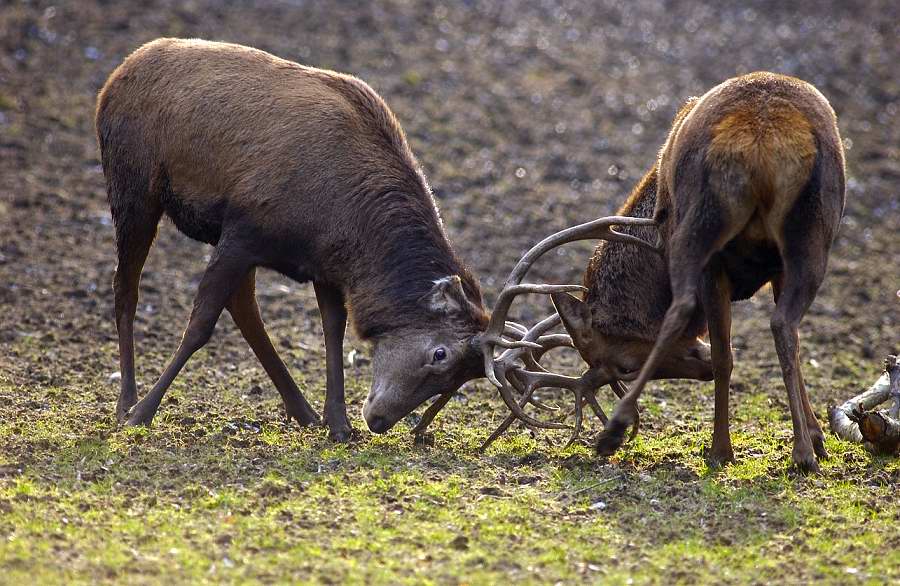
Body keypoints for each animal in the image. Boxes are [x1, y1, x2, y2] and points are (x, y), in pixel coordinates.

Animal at [96, 37, 652, 438]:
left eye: (459, 379)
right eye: (440, 355)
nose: (380, 421)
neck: (345, 221)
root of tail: (117, 74)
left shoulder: (321, 263)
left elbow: (333, 329)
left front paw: (338, 424)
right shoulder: (245, 229)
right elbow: (200, 324)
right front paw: (144, 413)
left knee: (244, 304)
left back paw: (301, 410)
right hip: (133, 188)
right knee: (126, 287)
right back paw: (126, 401)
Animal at [548, 72, 844, 470]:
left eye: (623, 366)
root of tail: (762, 143)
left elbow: (722, 356)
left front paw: (721, 450)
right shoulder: (778, 270)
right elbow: (792, 351)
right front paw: (816, 436)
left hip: (701, 228)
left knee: (684, 311)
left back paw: (620, 430)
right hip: (812, 236)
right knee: (785, 325)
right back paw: (803, 452)